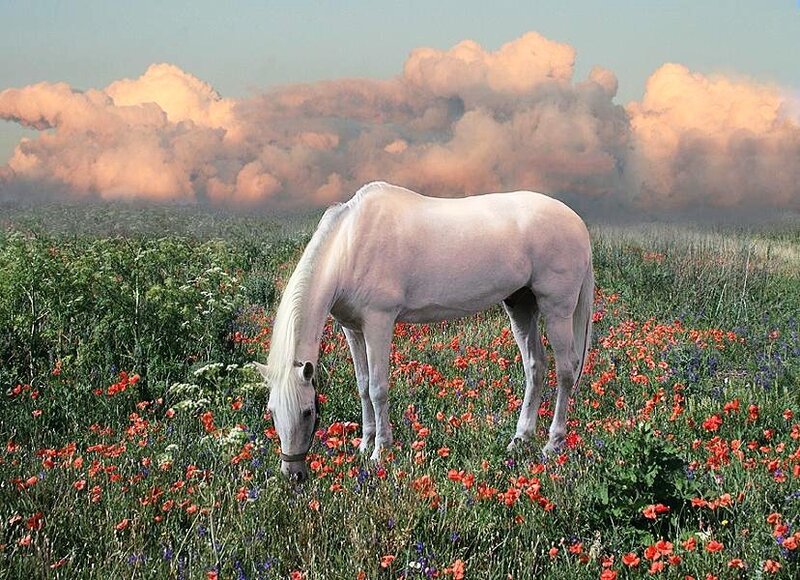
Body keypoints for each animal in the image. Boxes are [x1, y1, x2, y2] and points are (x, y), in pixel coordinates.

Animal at [253, 181, 594, 482]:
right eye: (272, 412)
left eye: (308, 412)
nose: (293, 474)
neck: (349, 245)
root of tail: (577, 223)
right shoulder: (352, 328)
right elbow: (362, 386)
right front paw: (365, 445)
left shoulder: (378, 322)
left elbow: (377, 388)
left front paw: (380, 452)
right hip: (521, 305)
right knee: (535, 367)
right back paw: (520, 439)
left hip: (556, 309)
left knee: (565, 371)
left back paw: (552, 445)